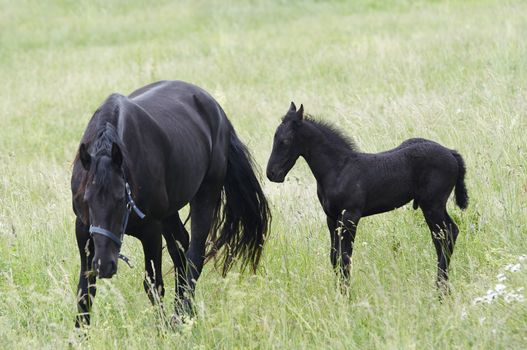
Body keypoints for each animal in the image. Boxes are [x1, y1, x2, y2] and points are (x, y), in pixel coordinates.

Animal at [72, 80, 270, 326]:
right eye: (87, 200)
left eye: (120, 199)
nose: (105, 265)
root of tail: (216, 111)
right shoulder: (83, 232)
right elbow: (85, 290)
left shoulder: (151, 232)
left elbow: (153, 285)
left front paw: (163, 328)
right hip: (169, 214)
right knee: (181, 250)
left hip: (204, 196)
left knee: (194, 256)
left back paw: (183, 313)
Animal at [268, 102, 470, 292]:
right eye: (274, 137)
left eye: (285, 141)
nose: (271, 174)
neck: (339, 169)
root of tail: (451, 152)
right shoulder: (331, 218)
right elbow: (334, 258)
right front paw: (338, 293)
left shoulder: (350, 216)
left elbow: (345, 258)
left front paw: (346, 295)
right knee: (444, 236)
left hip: (433, 205)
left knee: (447, 234)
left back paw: (440, 288)